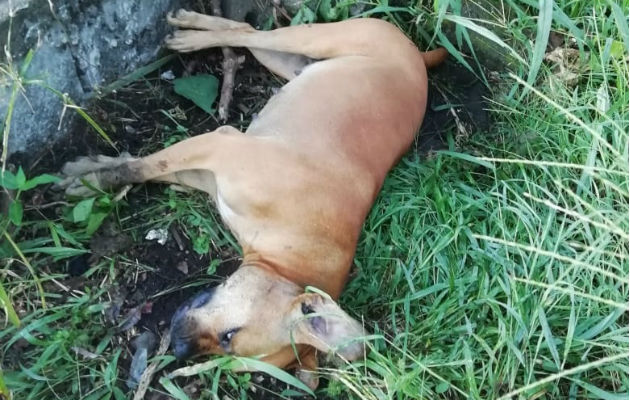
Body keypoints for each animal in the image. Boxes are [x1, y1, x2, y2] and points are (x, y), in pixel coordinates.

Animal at [56, 10, 446, 390]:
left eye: (226, 345)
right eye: (230, 335)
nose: (179, 348)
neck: (285, 259)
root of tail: (417, 55)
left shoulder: (208, 169)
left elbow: (145, 169)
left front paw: (93, 173)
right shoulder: (219, 146)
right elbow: (140, 167)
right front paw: (92, 177)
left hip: (289, 62)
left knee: (247, 32)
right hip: (310, 38)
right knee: (248, 31)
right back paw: (191, 32)